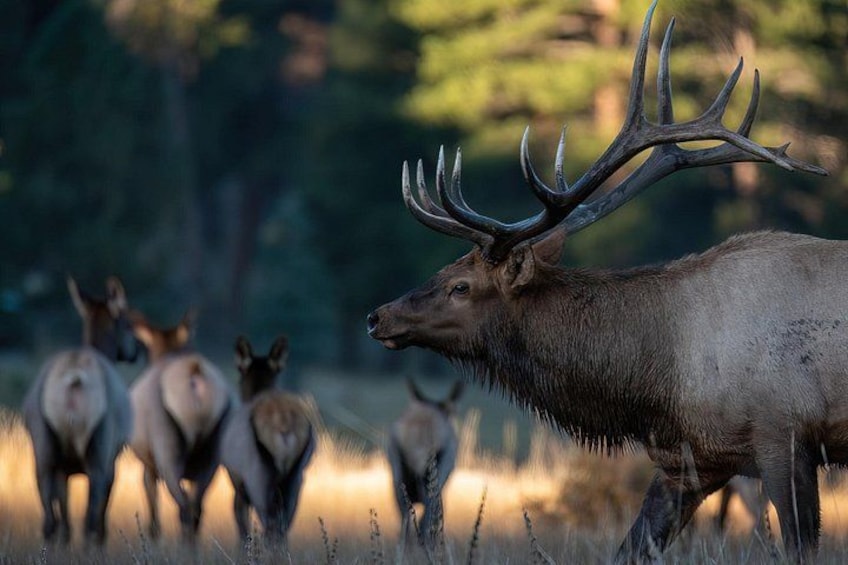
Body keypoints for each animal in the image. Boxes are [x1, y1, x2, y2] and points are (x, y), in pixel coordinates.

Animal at [22, 276, 137, 545]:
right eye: (128, 322)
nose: (135, 351)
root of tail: (74, 379)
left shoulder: (63, 469)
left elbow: (65, 520)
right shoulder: (113, 457)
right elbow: (101, 517)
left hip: (43, 447)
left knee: (50, 522)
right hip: (100, 446)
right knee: (89, 520)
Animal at [128, 309, 233, 542]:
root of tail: (194, 374)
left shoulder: (149, 466)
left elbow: (153, 516)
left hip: (166, 448)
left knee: (184, 506)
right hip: (212, 455)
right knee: (197, 508)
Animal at [220, 335, 315, 547]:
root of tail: (284, 424)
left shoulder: (238, 485)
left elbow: (242, 530)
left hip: (258, 475)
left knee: (270, 525)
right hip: (295, 477)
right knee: (283, 526)